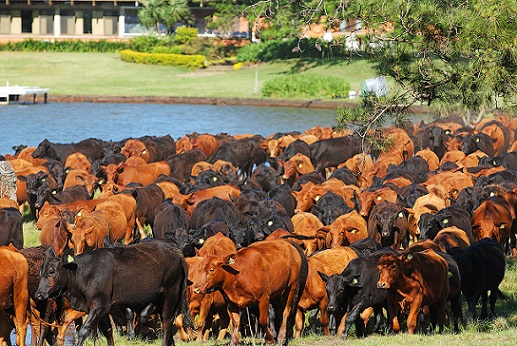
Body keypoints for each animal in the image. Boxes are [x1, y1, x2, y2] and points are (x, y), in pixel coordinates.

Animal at [36, 239, 189, 346]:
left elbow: (84, 330)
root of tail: (176, 251)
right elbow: (108, 331)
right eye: (40, 271)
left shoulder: (100, 305)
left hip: (171, 292)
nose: (39, 294)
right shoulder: (100, 309)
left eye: (52, 271)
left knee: (167, 321)